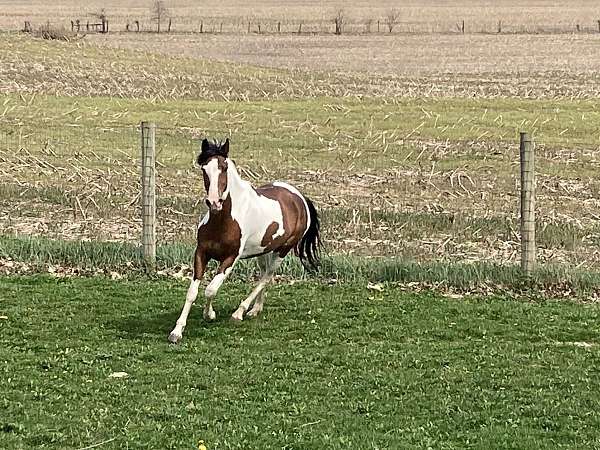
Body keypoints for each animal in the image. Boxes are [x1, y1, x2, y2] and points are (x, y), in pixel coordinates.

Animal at [166, 139, 322, 342]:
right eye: (204, 168)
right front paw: (177, 332)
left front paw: (210, 315)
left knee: (267, 277)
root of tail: (300, 198)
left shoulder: (231, 258)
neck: (223, 220)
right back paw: (256, 309)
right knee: (265, 274)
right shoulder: (201, 253)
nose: (214, 202)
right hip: (264, 250)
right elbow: (192, 292)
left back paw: (239, 313)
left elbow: (211, 289)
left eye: (224, 168)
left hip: (283, 250)